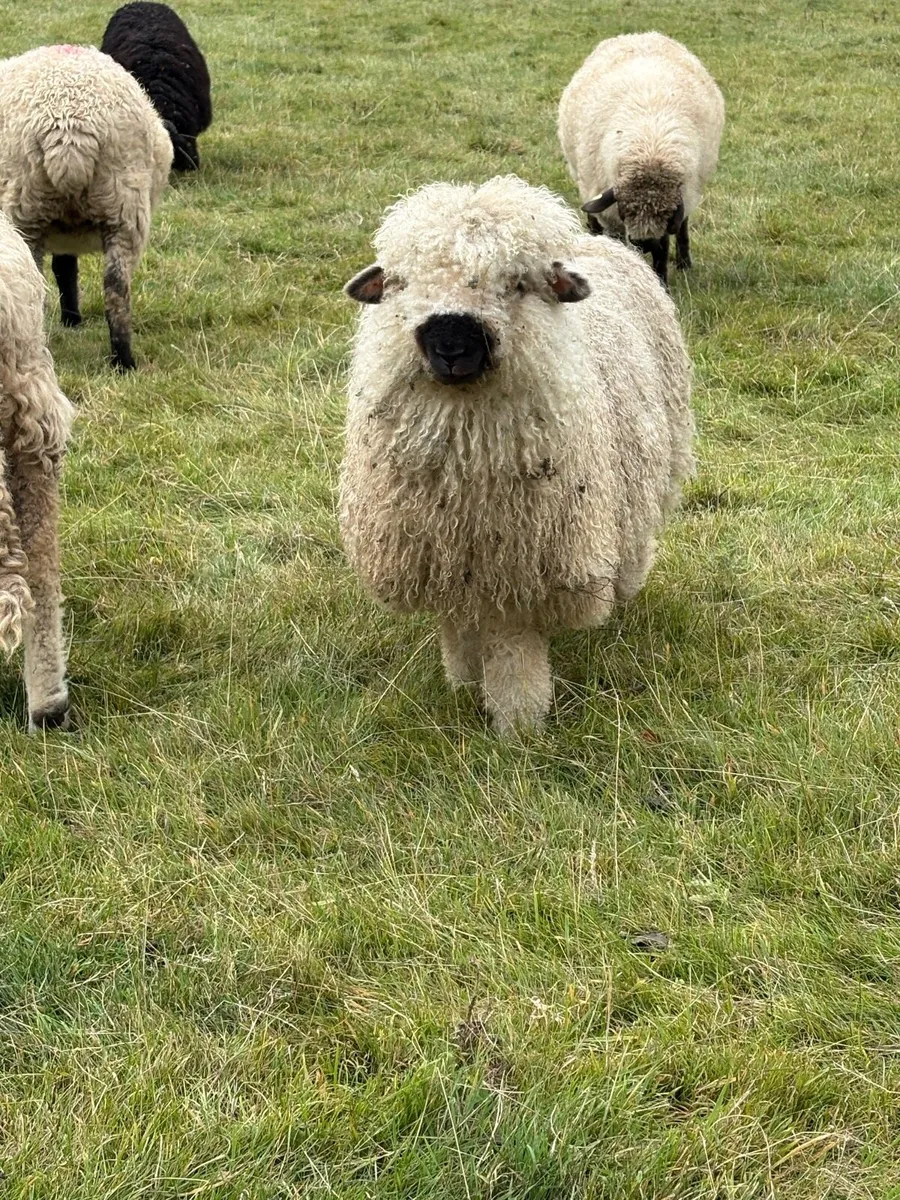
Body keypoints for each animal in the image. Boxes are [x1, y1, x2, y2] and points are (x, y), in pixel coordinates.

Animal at [0, 44, 173, 371]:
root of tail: (70, 129)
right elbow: (66, 266)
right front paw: (72, 319)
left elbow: (63, 268)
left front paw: (71, 319)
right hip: (124, 208)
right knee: (116, 288)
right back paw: (123, 361)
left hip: (26, 211)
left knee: (36, 287)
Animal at [340, 175, 694, 735]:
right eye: (404, 284)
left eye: (517, 283)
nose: (451, 344)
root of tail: (601, 244)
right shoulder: (444, 555)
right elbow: (458, 627)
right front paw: (462, 684)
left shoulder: (523, 565)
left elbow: (513, 651)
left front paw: (518, 725)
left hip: (648, 468)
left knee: (636, 537)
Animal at [558, 32, 724, 287]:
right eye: (625, 209)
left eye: (665, 213)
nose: (643, 243)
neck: (649, 149)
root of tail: (643, 34)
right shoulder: (609, 210)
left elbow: (663, 248)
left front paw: (662, 282)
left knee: (684, 226)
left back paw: (684, 262)